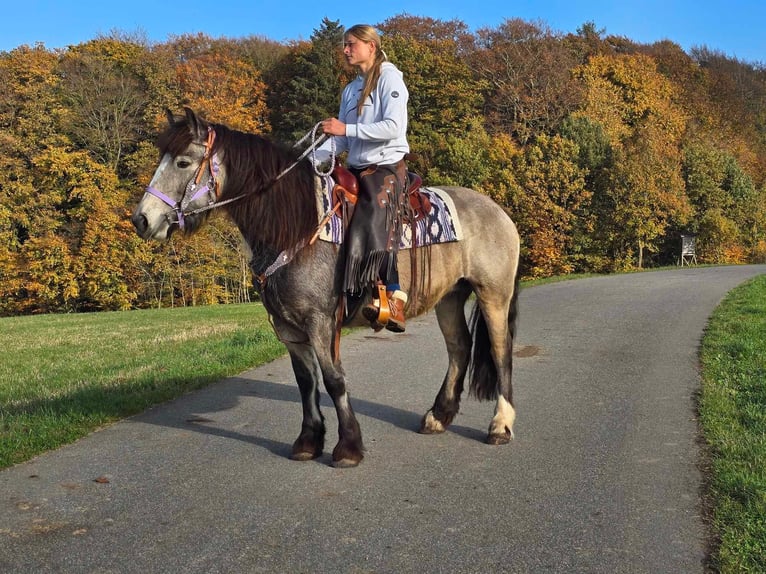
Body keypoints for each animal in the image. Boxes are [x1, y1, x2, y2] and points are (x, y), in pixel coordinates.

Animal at [135, 108, 524, 468]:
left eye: (183, 161)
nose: (142, 219)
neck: (295, 225)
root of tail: (499, 212)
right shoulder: (288, 327)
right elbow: (306, 382)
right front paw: (308, 441)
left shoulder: (320, 320)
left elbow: (334, 379)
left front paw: (349, 446)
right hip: (449, 297)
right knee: (459, 348)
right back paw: (438, 417)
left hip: (493, 295)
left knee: (501, 352)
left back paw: (500, 426)